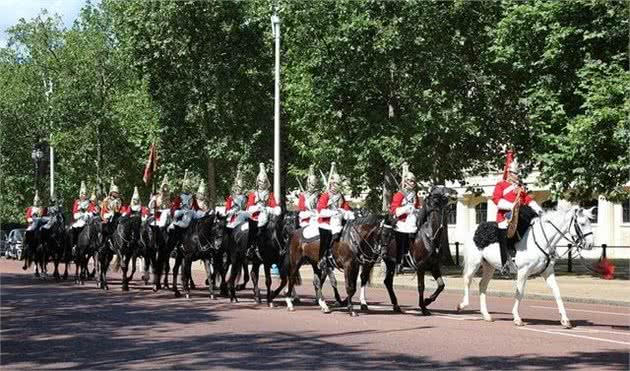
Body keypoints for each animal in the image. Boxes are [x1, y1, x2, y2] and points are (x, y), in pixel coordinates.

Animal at [380, 187, 460, 316]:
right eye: (439, 190)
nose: (455, 192)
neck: (430, 236)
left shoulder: (434, 266)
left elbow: (441, 285)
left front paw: (427, 300)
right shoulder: (421, 267)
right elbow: (421, 286)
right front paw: (423, 307)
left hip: (390, 264)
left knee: (388, 282)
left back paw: (396, 306)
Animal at [460, 205, 596, 330]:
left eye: (590, 222)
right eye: (582, 224)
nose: (590, 244)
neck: (542, 241)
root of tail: (476, 229)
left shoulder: (547, 272)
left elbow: (556, 292)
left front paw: (565, 320)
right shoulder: (523, 271)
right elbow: (519, 293)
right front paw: (517, 318)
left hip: (489, 266)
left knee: (482, 285)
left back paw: (486, 315)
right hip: (474, 262)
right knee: (467, 280)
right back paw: (463, 305)